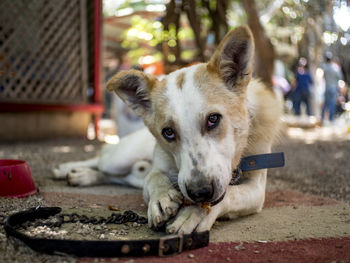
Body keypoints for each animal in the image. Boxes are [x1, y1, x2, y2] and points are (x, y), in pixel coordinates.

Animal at [52, 25, 282, 235]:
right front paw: (162, 199)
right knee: (103, 159)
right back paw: (69, 169)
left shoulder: (256, 189)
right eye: (168, 132)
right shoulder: (158, 169)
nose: (200, 192)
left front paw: (194, 214)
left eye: (213, 119)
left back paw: (83, 176)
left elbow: (231, 195)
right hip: (119, 159)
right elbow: (155, 179)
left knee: (118, 175)